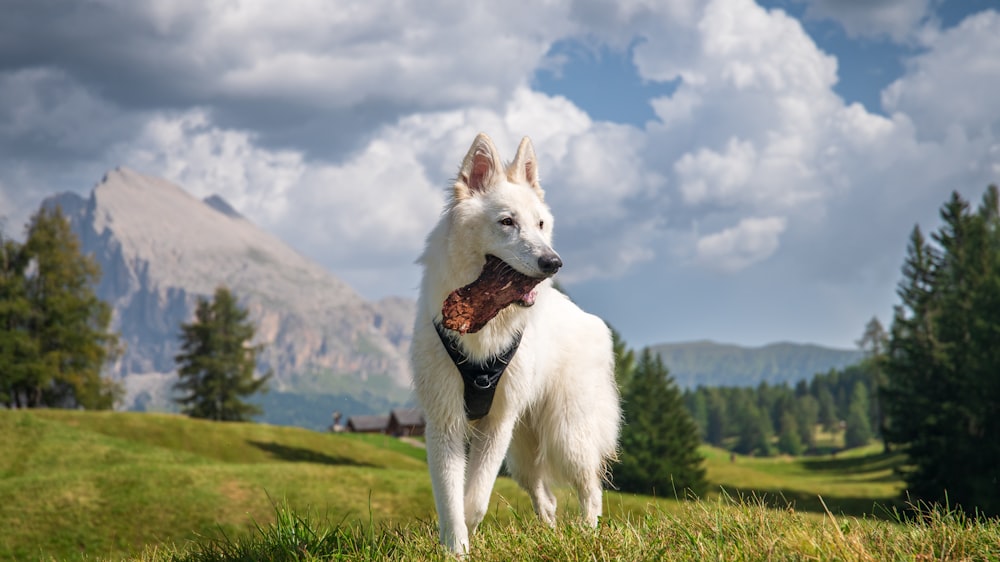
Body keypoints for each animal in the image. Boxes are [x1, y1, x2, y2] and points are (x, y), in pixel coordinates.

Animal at [410, 133, 620, 552]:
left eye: (540, 224)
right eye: (507, 222)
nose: (553, 263)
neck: (483, 328)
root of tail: (589, 320)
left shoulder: (497, 424)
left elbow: (475, 497)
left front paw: (467, 532)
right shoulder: (445, 422)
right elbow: (451, 497)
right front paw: (456, 549)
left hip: (565, 435)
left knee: (591, 489)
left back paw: (587, 536)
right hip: (524, 452)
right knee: (548, 498)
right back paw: (552, 535)